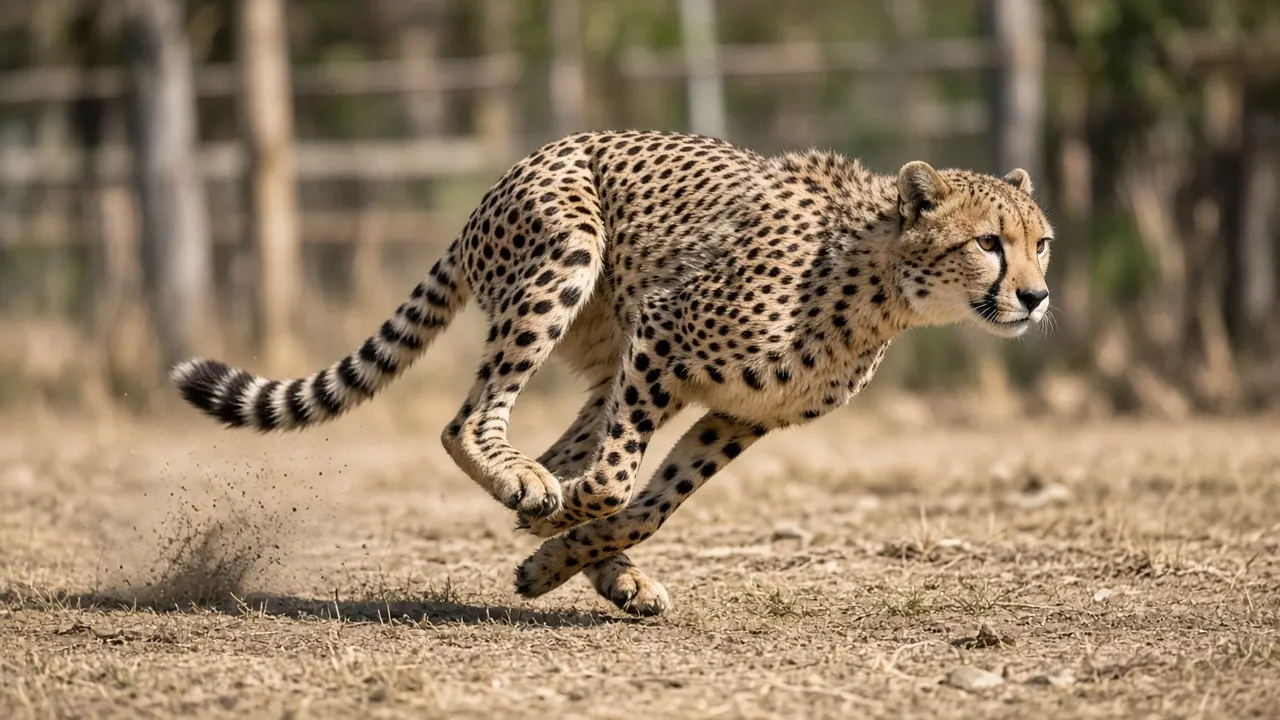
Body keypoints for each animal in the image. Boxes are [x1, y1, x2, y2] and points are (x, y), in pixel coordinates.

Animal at [169, 129, 1053, 617]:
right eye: (989, 243)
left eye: (1040, 243)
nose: (1038, 296)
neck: (882, 289)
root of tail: (526, 161)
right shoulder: (663, 335)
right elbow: (618, 482)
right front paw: (561, 524)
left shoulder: (740, 416)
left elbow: (650, 506)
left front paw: (565, 558)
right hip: (565, 258)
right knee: (470, 421)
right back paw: (527, 489)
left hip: (602, 359)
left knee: (557, 446)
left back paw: (585, 551)